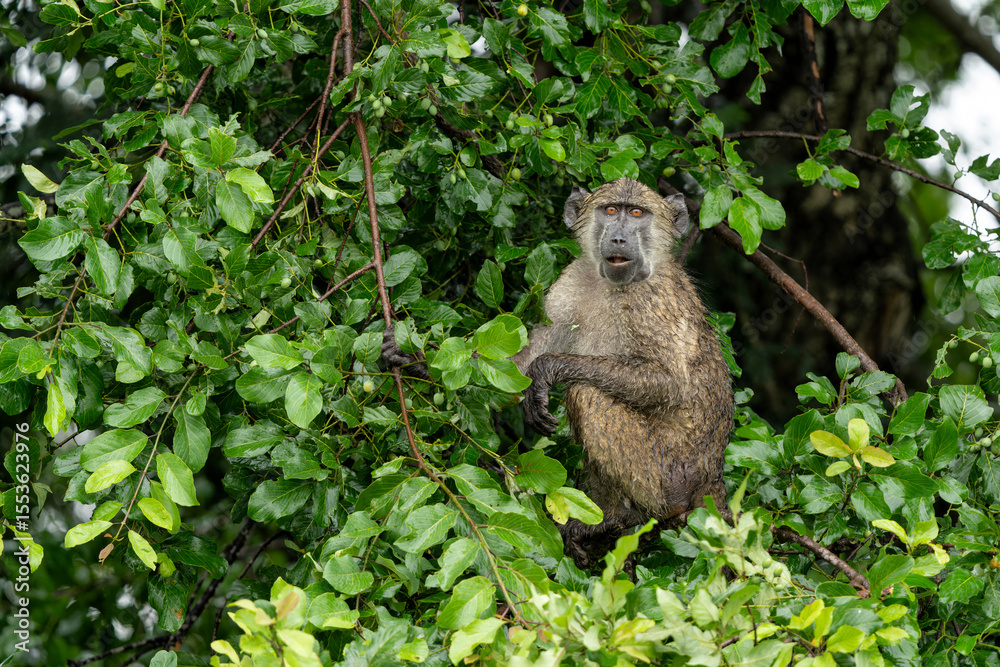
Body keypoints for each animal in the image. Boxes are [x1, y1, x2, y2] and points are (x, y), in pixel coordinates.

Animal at [510, 177, 733, 568]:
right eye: (611, 210)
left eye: (638, 213)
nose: (618, 240)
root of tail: (712, 477)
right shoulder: (573, 278)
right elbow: (514, 364)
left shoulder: (649, 301)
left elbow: (669, 383)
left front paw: (546, 370)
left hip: (666, 471)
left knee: (587, 393)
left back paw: (625, 517)